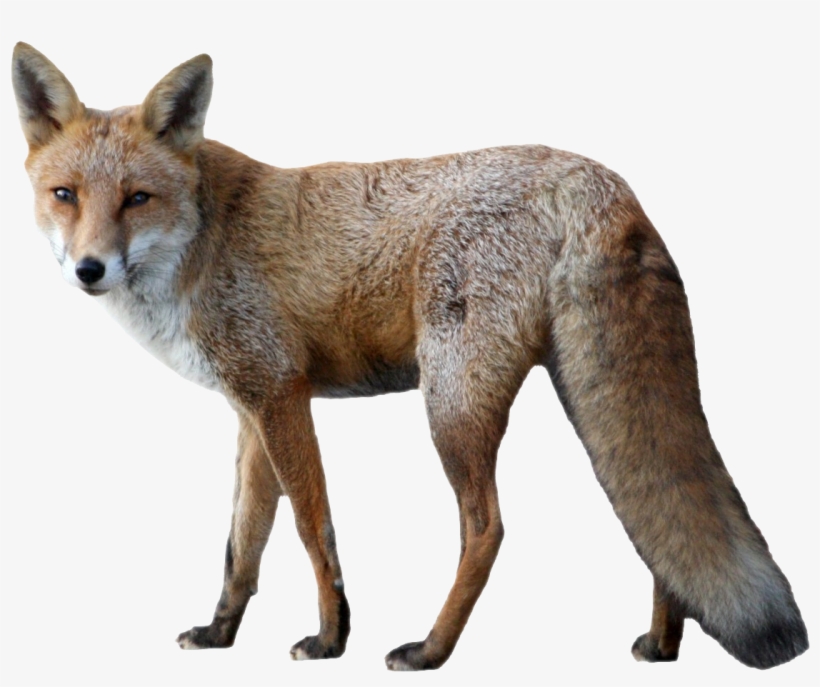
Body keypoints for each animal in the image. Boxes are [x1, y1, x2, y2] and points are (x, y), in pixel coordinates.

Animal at [11, 42, 809, 671]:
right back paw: (662, 644)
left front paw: (331, 637)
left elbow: (312, 527)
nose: (89, 269)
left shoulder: (280, 395)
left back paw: (431, 649)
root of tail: (595, 178)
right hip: (586, 397)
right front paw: (219, 633)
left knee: (488, 528)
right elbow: (243, 543)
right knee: (650, 520)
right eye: (65, 195)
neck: (203, 242)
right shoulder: (250, 408)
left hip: (452, 402)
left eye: (137, 198)